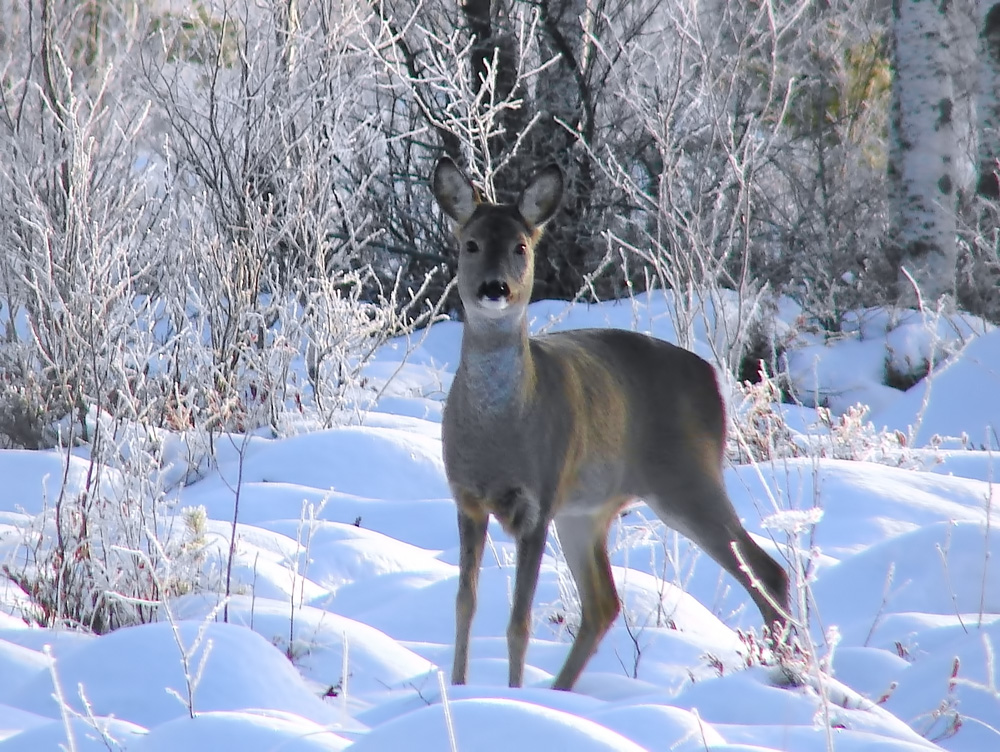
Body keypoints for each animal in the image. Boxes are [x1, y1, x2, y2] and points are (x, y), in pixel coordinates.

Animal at [432, 159, 788, 692]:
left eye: (521, 246)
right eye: (470, 244)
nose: (494, 288)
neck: (498, 432)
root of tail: (711, 379)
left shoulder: (538, 502)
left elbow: (520, 620)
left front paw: (512, 696)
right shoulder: (468, 499)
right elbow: (463, 606)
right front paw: (459, 690)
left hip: (688, 480)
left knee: (766, 568)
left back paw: (792, 669)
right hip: (588, 511)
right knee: (603, 602)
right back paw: (560, 692)